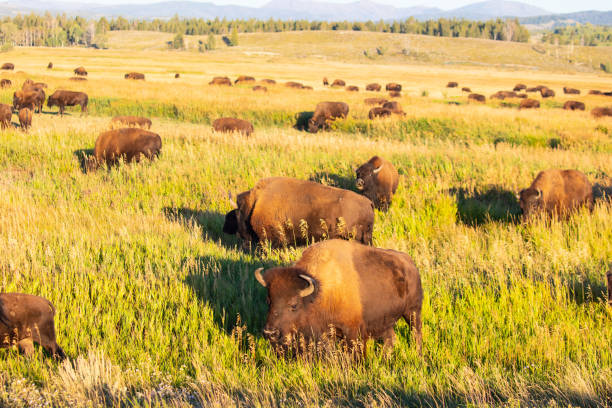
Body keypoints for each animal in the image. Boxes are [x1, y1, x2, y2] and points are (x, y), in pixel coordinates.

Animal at [253, 239, 420, 354]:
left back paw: (417, 353)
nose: (270, 333)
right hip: (386, 320)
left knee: (416, 333)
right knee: (390, 338)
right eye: (269, 301)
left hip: (413, 311)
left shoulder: (353, 331)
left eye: (294, 305)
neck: (320, 291)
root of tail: (410, 263)